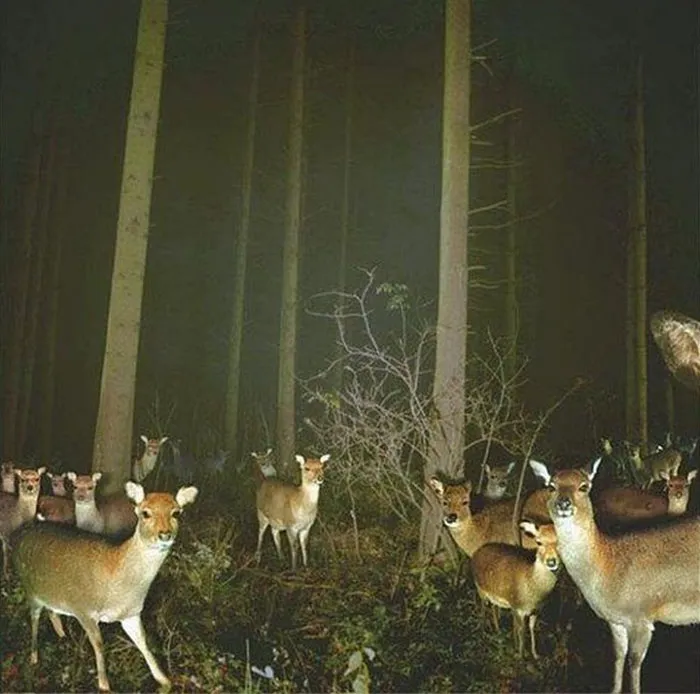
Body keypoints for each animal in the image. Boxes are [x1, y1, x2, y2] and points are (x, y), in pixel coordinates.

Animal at [11, 481, 198, 692]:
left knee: (53, 611)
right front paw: (104, 684)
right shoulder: (83, 609)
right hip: (30, 589)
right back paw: (34, 656)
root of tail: (19, 534)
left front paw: (164, 679)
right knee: (34, 618)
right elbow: (99, 644)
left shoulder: (131, 613)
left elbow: (143, 641)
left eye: (176, 512)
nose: (165, 534)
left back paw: (62, 637)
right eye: (145, 513)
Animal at [472, 521, 560, 659]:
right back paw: (482, 633)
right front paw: (520, 656)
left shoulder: (536, 610)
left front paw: (535, 654)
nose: (551, 561)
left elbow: (531, 628)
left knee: (493, 607)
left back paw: (498, 632)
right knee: (483, 606)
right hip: (479, 587)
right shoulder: (517, 608)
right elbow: (521, 632)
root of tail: (476, 552)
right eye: (538, 542)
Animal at [530, 457, 700, 694]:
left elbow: (634, 662)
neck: (608, 569)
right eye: (551, 486)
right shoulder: (615, 620)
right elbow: (618, 657)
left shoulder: (641, 616)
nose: (564, 503)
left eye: (584, 486)